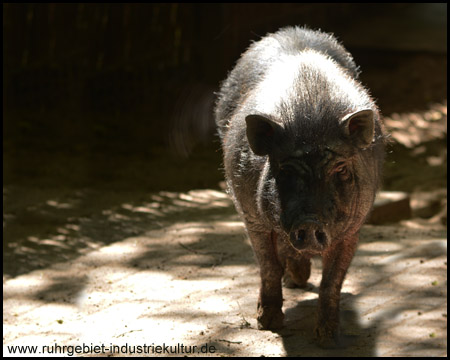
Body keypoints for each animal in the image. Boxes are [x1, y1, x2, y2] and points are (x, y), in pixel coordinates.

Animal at [214, 25, 386, 346]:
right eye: (285, 169)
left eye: (340, 168)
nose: (309, 221)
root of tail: (292, 31)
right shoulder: (251, 216)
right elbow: (268, 266)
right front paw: (267, 324)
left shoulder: (354, 226)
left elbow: (332, 280)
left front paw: (327, 337)